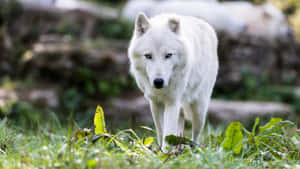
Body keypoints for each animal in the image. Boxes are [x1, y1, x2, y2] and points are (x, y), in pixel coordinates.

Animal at [127, 13, 219, 151]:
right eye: (148, 56)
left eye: (168, 55)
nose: (158, 81)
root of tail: (208, 26)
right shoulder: (155, 103)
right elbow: (161, 132)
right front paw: (161, 151)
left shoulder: (172, 102)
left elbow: (168, 132)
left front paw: (165, 153)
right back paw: (178, 148)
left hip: (199, 110)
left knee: (196, 135)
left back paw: (194, 150)